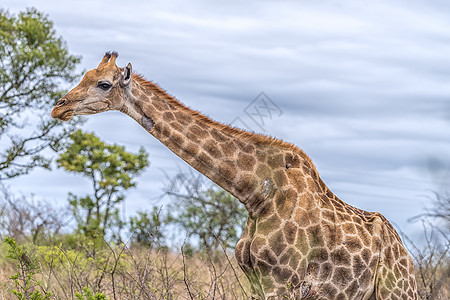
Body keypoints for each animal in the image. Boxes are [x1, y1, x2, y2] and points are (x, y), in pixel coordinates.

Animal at [51, 52, 416, 298]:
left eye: (103, 83)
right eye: (84, 75)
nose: (59, 106)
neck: (255, 194)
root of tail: (409, 260)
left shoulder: (284, 283)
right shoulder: (255, 281)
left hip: (397, 292)